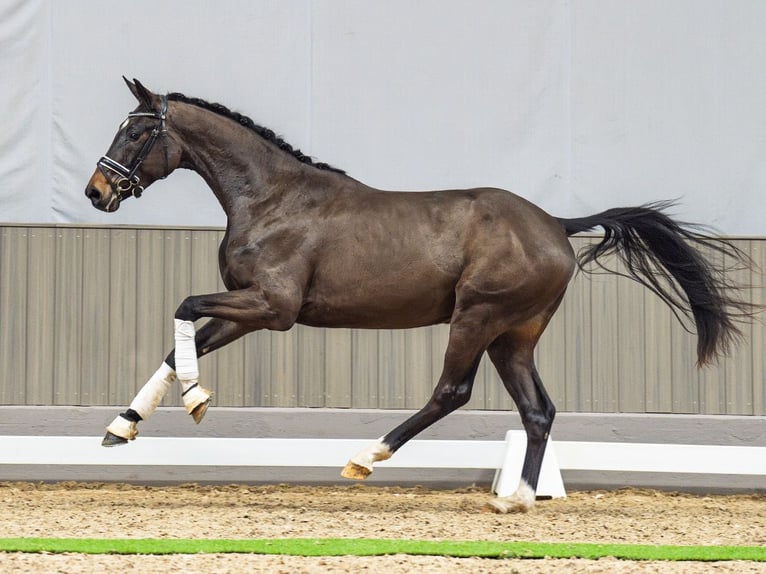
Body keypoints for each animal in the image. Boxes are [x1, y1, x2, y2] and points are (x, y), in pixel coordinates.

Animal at [87, 77, 752, 512]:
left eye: (139, 131)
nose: (98, 191)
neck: (272, 199)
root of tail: (556, 225)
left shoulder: (273, 309)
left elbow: (183, 310)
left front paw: (196, 399)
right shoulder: (249, 309)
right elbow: (179, 344)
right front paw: (122, 428)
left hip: (477, 318)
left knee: (452, 392)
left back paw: (366, 457)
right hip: (514, 336)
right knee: (537, 410)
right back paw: (516, 500)